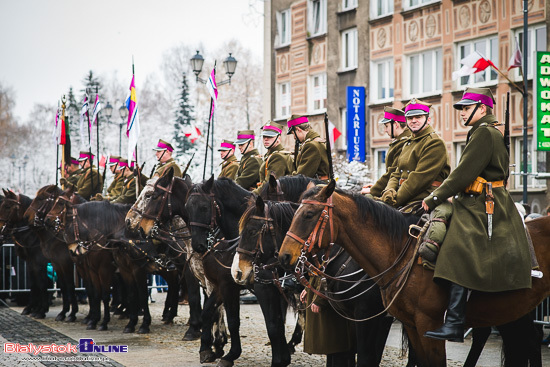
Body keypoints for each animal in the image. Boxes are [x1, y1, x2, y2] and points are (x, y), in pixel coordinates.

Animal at [0, 190, 49, 320]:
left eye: (7, 206)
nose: (1, 229)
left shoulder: (40, 264)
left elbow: (42, 284)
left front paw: (41, 310)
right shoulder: (31, 263)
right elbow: (33, 284)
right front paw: (32, 308)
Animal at [24, 185, 80, 324]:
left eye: (40, 198)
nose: (26, 217)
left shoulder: (65, 263)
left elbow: (69, 286)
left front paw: (72, 313)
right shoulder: (56, 263)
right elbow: (63, 287)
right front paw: (63, 312)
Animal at [280, 181, 550, 367]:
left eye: (308, 214)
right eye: (293, 212)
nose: (283, 257)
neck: (399, 251)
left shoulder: (411, 324)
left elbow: (367, 358)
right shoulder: (407, 325)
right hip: (511, 308)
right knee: (525, 341)